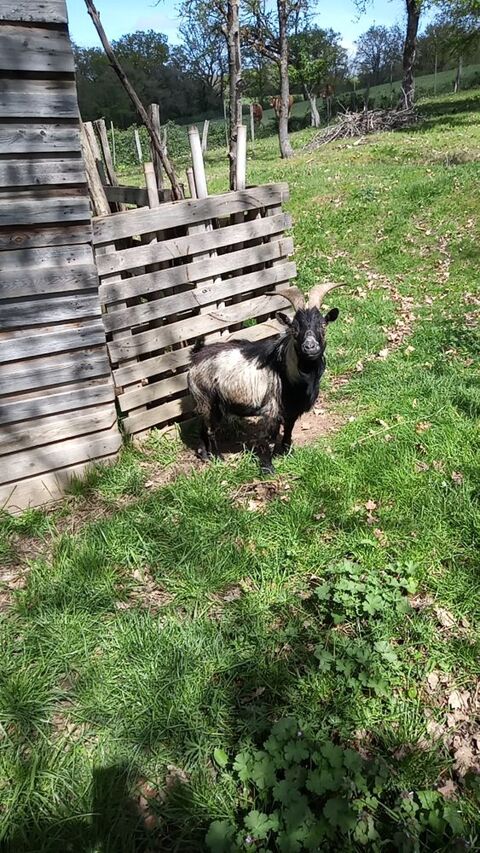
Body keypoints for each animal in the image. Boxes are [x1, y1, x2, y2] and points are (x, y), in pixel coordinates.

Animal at [188, 284, 344, 472]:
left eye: (323, 325)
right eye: (294, 328)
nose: (310, 347)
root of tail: (195, 356)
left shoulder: (293, 409)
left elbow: (289, 430)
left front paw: (287, 452)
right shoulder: (271, 408)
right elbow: (269, 438)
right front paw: (268, 468)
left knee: (202, 426)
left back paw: (204, 454)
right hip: (207, 398)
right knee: (210, 428)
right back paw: (218, 458)